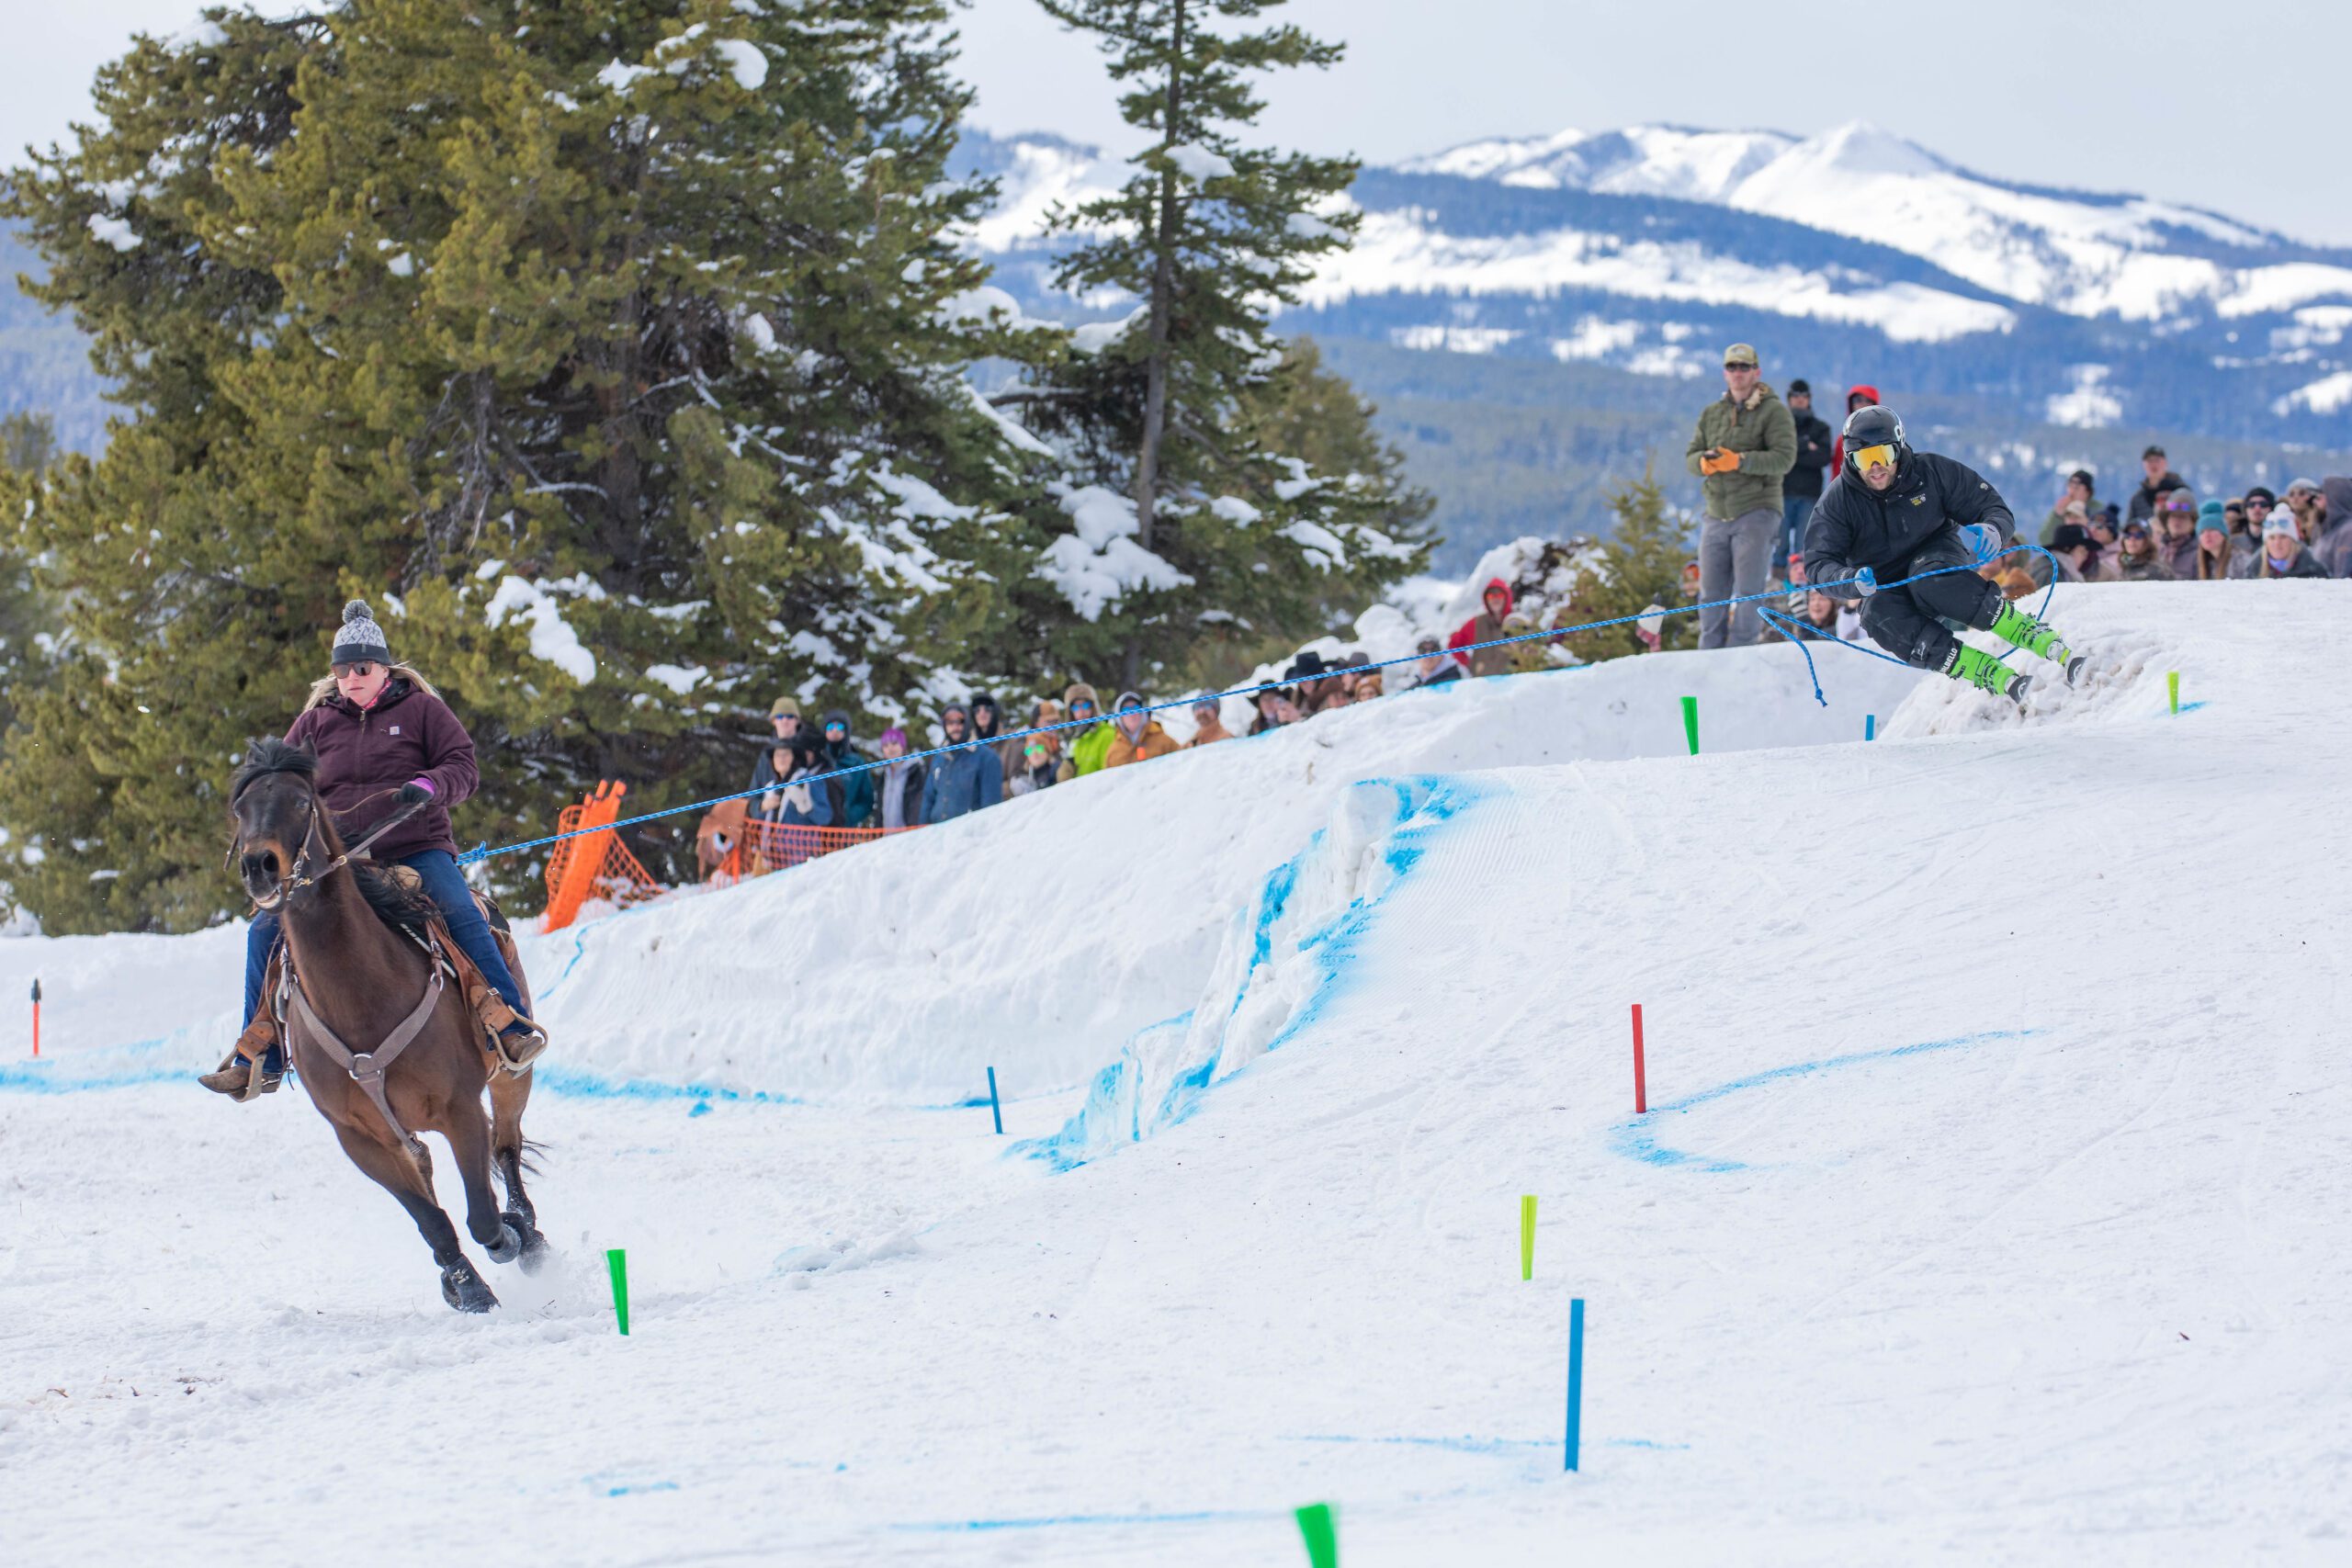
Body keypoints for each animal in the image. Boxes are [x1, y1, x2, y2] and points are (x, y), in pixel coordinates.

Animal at [233, 738, 555, 1316]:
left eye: (301, 801)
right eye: (239, 810)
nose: (259, 866)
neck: (361, 999)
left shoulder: (459, 1109)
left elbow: (483, 1215)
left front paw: (511, 1239)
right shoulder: (358, 1137)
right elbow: (430, 1218)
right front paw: (466, 1286)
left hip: (511, 1077)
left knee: (507, 1147)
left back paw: (531, 1235)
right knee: (427, 1168)